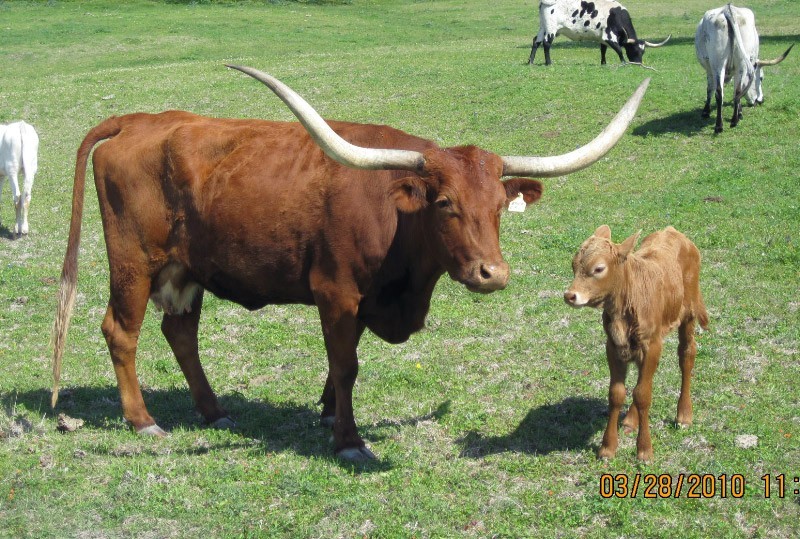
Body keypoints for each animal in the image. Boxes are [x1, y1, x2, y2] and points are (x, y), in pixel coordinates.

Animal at [51, 65, 649, 460]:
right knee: (120, 331)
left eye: (500, 206)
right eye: (444, 203)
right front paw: (349, 440)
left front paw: (328, 413)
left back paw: (214, 410)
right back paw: (143, 421)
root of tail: (138, 120)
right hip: (134, 262)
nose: (492, 274)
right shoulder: (334, 291)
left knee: (180, 332)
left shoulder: (362, 301)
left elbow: (343, 362)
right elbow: (346, 365)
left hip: (185, 271)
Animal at [528, 0, 670, 66]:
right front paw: (623, 62)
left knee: (536, 41)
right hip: (551, 29)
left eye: (643, 51)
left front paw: (603, 63)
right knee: (546, 43)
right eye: (634, 50)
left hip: (543, 27)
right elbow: (619, 50)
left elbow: (603, 50)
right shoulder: (609, 36)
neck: (616, 15)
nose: (638, 64)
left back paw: (530, 62)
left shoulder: (602, 38)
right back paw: (548, 63)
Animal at [564, 225, 708, 461]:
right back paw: (631, 421)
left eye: (598, 268)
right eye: (573, 264)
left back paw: (684, 415)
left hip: (688, 311)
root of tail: (673, 231)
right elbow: (617, 393)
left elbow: (642, 394)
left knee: (687, 354)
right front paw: (607, 448)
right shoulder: (613, 346)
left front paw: (644, 450)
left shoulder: (652, 344)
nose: (569, 295)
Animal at [695, 4, 793, 133]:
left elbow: (713, 89)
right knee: (731, 91)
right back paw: (731, 121)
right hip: (734, 64)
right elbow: (711, 89)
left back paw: (722, 125)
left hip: (719, 64)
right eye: (761, 78)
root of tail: (728, 9)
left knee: (722, 92)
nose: (761, 100)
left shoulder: (710, 68)